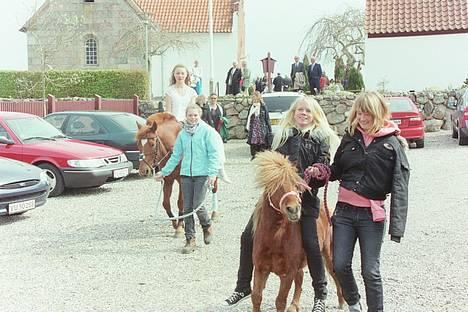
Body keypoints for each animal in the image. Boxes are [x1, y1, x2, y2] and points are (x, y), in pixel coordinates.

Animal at [252, 150, 344, 310]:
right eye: (275, 185)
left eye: (295, 185)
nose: (294, 209)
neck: (275, 239)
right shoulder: (260, 269)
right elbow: (256, 297)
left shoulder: (288, 273)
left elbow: (280, 301)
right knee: (300, 279)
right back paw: (294, 306)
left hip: (328, 254)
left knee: (334, 274)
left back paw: (342, 303)